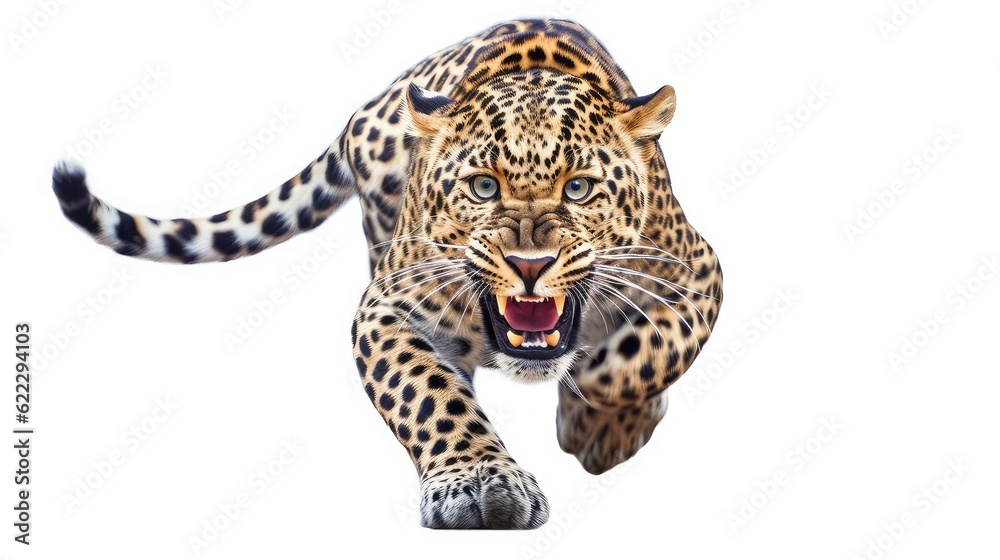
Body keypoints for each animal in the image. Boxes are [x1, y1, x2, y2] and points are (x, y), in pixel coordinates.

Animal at [52, 19, 723, 529]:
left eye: (579, 188)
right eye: (483, 187)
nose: (530, 265)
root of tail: (372, 104)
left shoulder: (697, 270)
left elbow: (651, 351)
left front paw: (597, 418)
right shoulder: (388, 307)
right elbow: (428, 393)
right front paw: (478, 480)